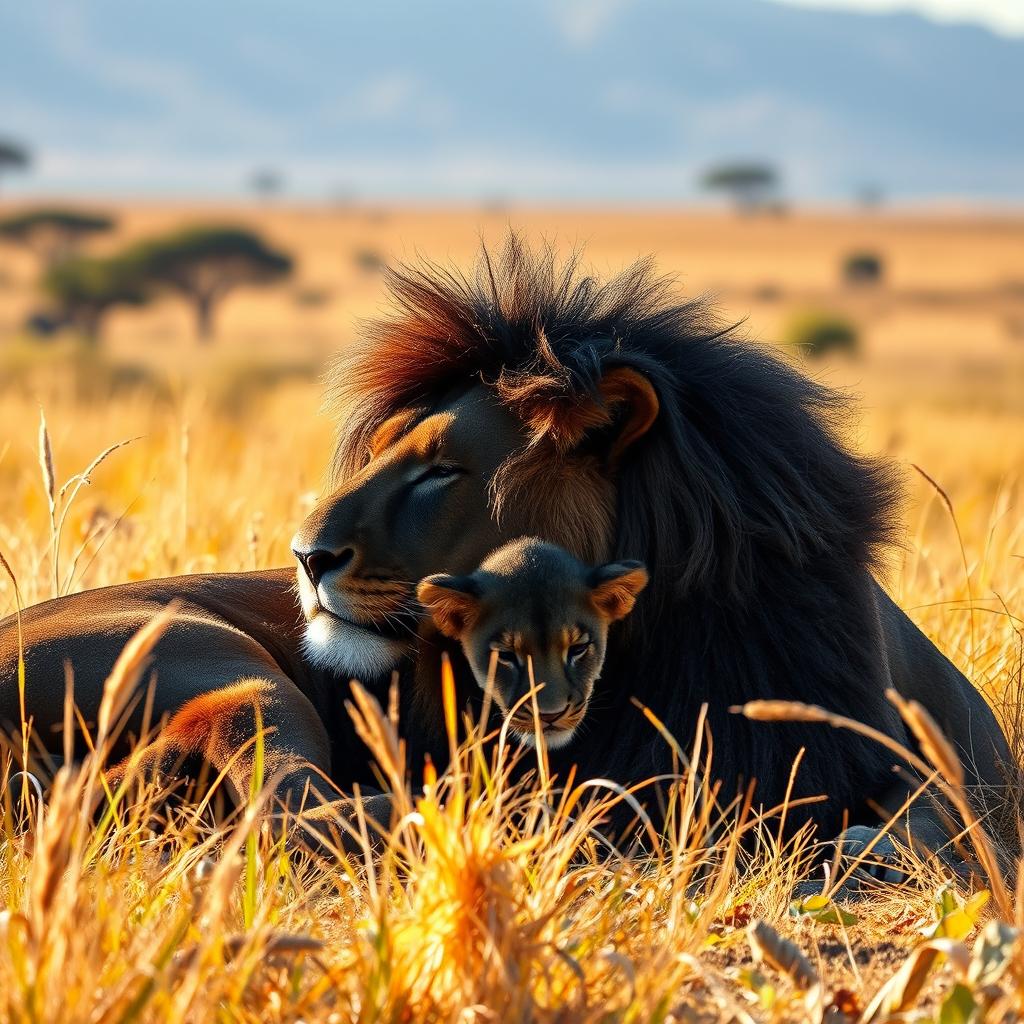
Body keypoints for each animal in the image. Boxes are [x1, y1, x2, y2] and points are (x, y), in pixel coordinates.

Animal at [0, 236, 1012, 880]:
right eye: (379, 455)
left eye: (443, 469)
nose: (304, 556)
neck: (668, 642)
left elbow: (943, 823)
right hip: (226, 665)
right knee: (289, 806)